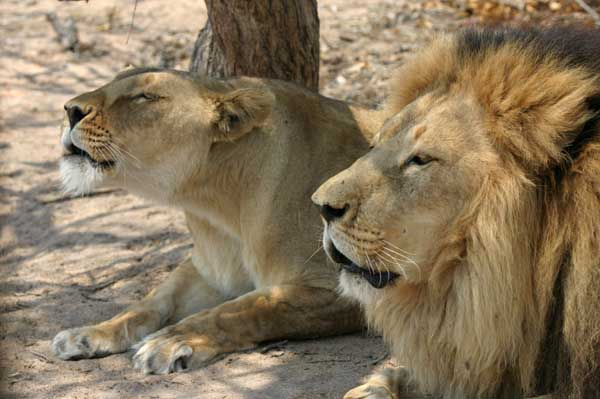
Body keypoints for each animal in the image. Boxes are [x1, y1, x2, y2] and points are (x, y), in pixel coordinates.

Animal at [50, 68, 380, 376]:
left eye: (145, 96)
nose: (70, 110)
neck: (216, 206)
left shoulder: (347, 284)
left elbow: (246, 308)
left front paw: (170, 341)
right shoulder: (209, 270)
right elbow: (153, 300)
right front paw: (89, 334)